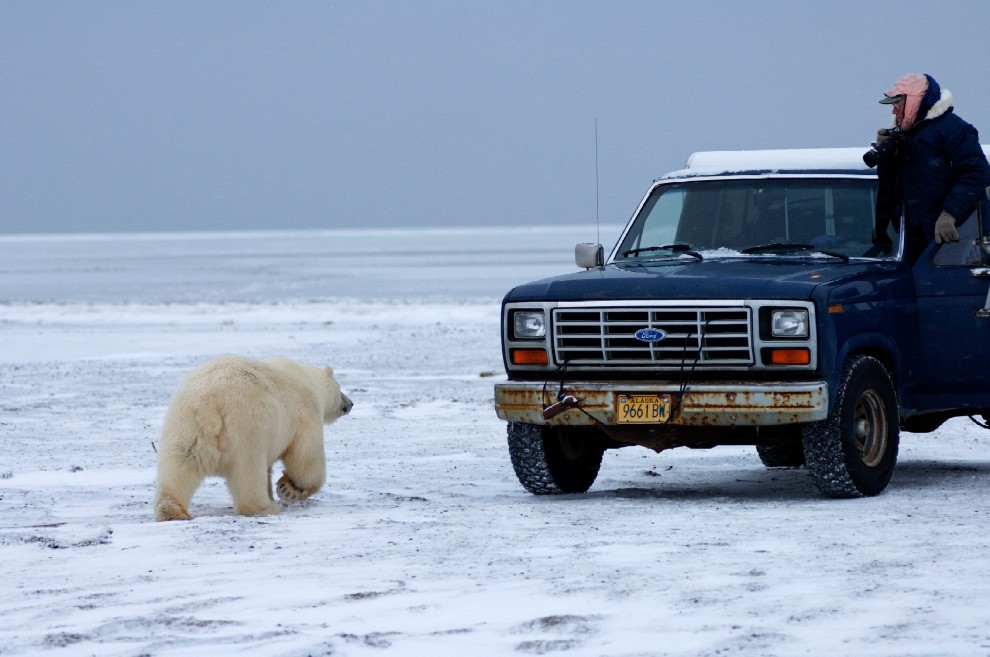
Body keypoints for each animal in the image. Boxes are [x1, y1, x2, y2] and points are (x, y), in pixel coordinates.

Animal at [153, 355, 353, 521]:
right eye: (340, 389)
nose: (350, 403)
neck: (307, 379)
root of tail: (210, 404)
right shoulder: (305, 413)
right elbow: (306, 457)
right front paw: (288, 490)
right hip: (247, 429)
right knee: (249, 472)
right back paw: (265, 507)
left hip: (186, 426)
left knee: (180, 464)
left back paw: (172, 510)